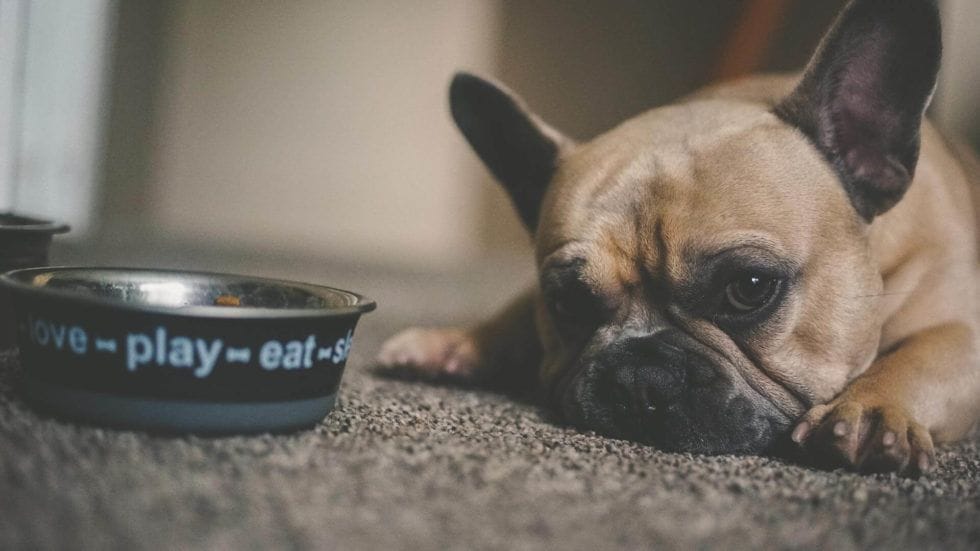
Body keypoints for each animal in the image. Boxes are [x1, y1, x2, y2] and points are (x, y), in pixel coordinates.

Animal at [378, 0, 980, 474]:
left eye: (751, 287)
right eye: (566, 301)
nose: (639, 377)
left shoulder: (964, 332)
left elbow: (925, 355)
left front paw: (870, 410)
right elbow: (517, 309)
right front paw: (460, 341)